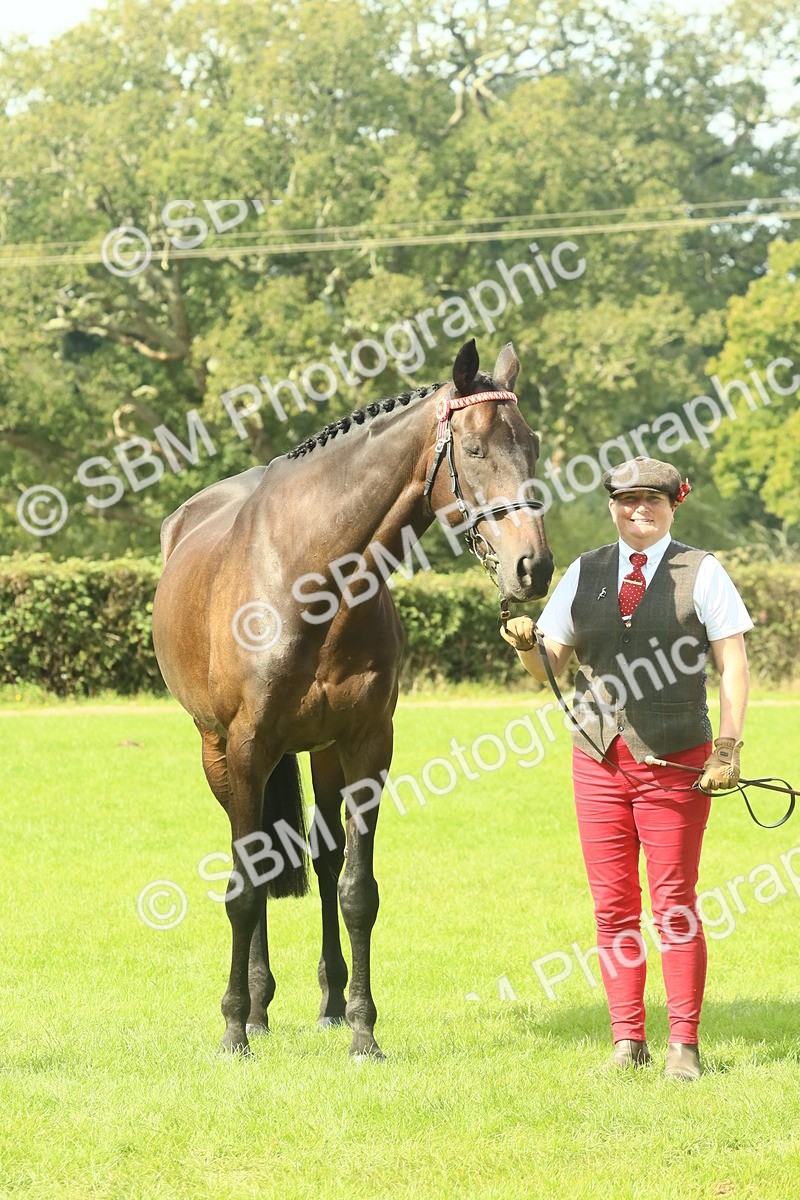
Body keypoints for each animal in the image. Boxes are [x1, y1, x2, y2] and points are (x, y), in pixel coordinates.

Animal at [151, 338, 553, 1059]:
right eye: (475, 449)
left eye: (531, 445)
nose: (532, 567)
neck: (311, 576)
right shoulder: (245, 748)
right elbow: (243, 889)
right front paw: (233, 1030)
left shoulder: (366, 746)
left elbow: (356, 890)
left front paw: (364, 1030)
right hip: (220, 754)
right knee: (256, 858)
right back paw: (254, 1009)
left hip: (320, 754)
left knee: (324, 854)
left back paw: (329, 1002)